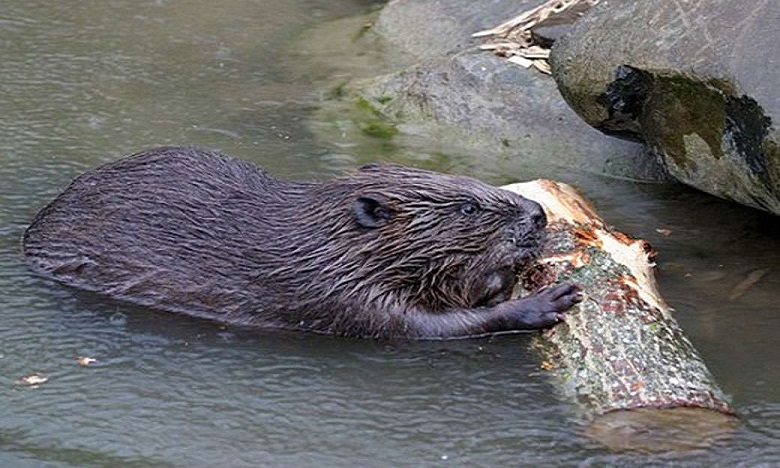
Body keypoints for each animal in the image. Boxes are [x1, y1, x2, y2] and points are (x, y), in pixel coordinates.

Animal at [22, 146, 580, 336]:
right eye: (468, 208)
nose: (538, 213)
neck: (320, 239)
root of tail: (33, 230)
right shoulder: (336, 291)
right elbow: (424, 328)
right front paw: (548, 300)